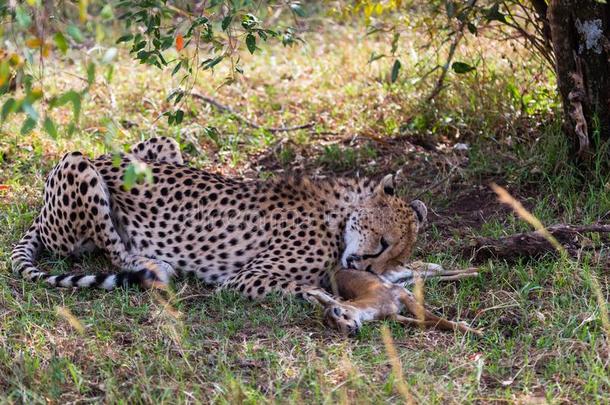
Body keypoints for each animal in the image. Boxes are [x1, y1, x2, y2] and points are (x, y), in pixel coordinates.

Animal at [11, 136, 472, 332]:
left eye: (394, 253)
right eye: (382, 243)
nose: (368, 268)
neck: (340, 212)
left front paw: (425, 269)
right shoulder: (244, 279)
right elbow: (309, 288)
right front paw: (341, 305)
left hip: (160, 143)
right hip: (77, 165)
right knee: (113, 252)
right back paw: (151, 266)